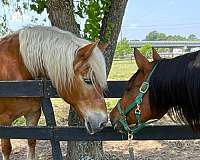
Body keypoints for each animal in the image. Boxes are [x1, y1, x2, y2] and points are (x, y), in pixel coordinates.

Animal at [0, 25, 108, 159]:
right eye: (87, 80)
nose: (103, 122)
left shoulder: (33, 114)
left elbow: (31, 142)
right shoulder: (4, 120)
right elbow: (6, 149)